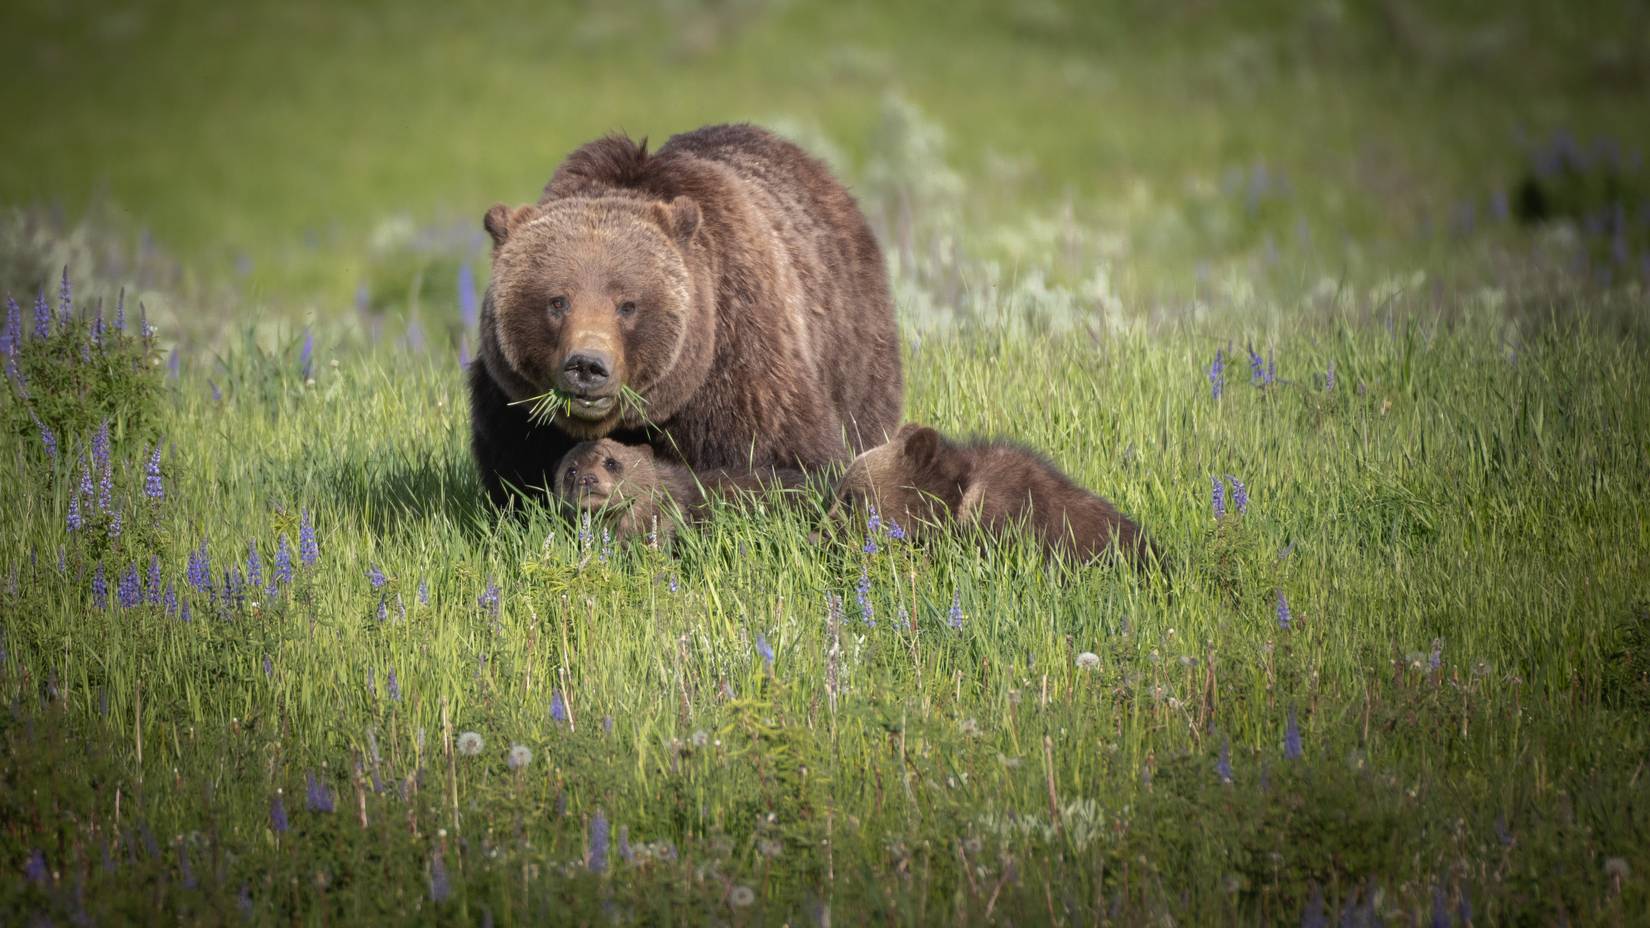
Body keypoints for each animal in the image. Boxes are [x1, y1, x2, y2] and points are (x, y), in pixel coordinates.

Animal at [469, 124, 902, 509]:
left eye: (627, 304)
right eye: (558, 301)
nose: (588, 366)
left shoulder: (738, 370)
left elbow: (789, 466)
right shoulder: (514, 410)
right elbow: (517, 480)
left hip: (853, 348)